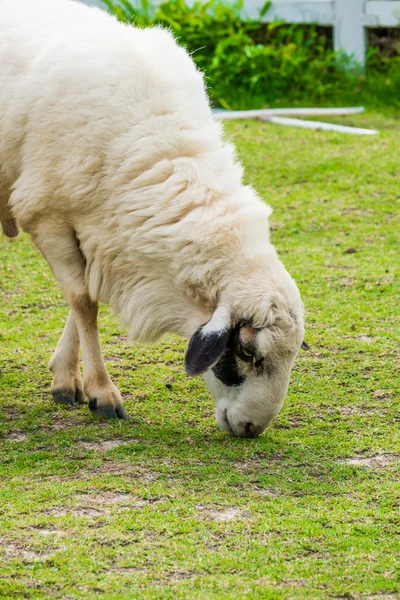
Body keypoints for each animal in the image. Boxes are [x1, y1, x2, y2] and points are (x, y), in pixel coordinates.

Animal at [0, 0, 306, 436]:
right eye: (247, 350)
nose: (252, 429)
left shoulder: (103, 228)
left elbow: (86, 293)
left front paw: (65, 379)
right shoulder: (46, 213)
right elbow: (83, 301)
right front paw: (101, 392)